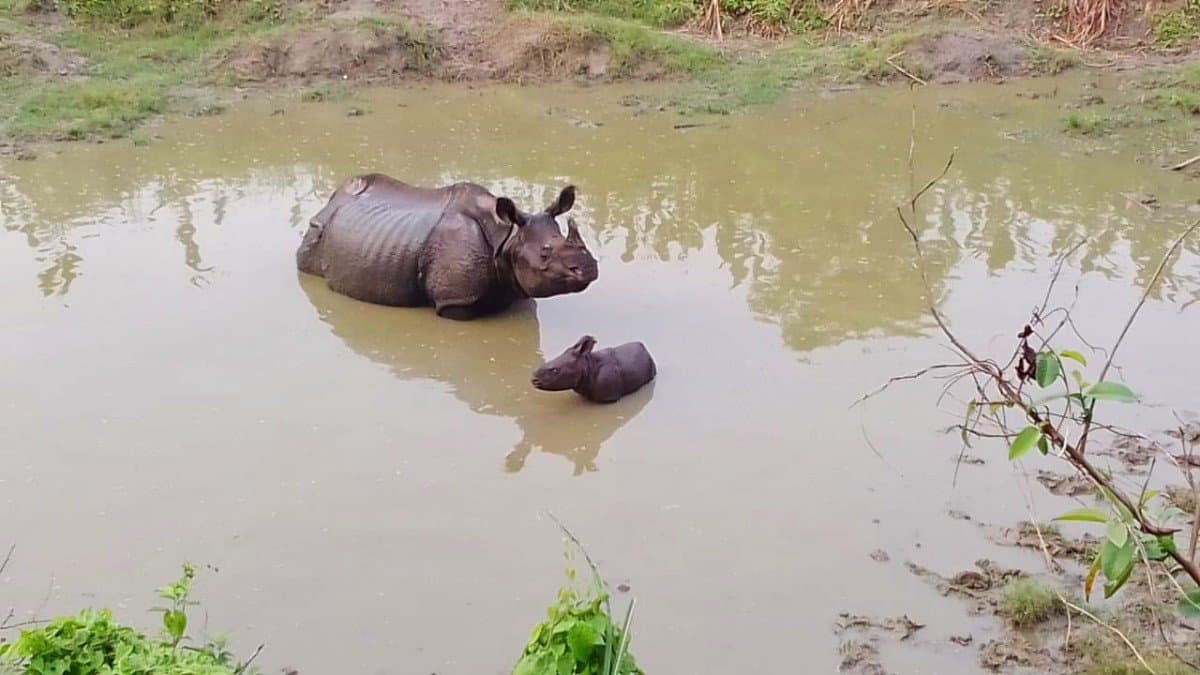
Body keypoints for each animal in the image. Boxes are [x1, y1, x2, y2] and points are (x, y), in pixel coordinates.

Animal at [296, 174, 599, 319]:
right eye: (545, 254)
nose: (589, 268)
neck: (510, 239)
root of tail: (335, 197)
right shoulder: (455, 300)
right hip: (318, 227)